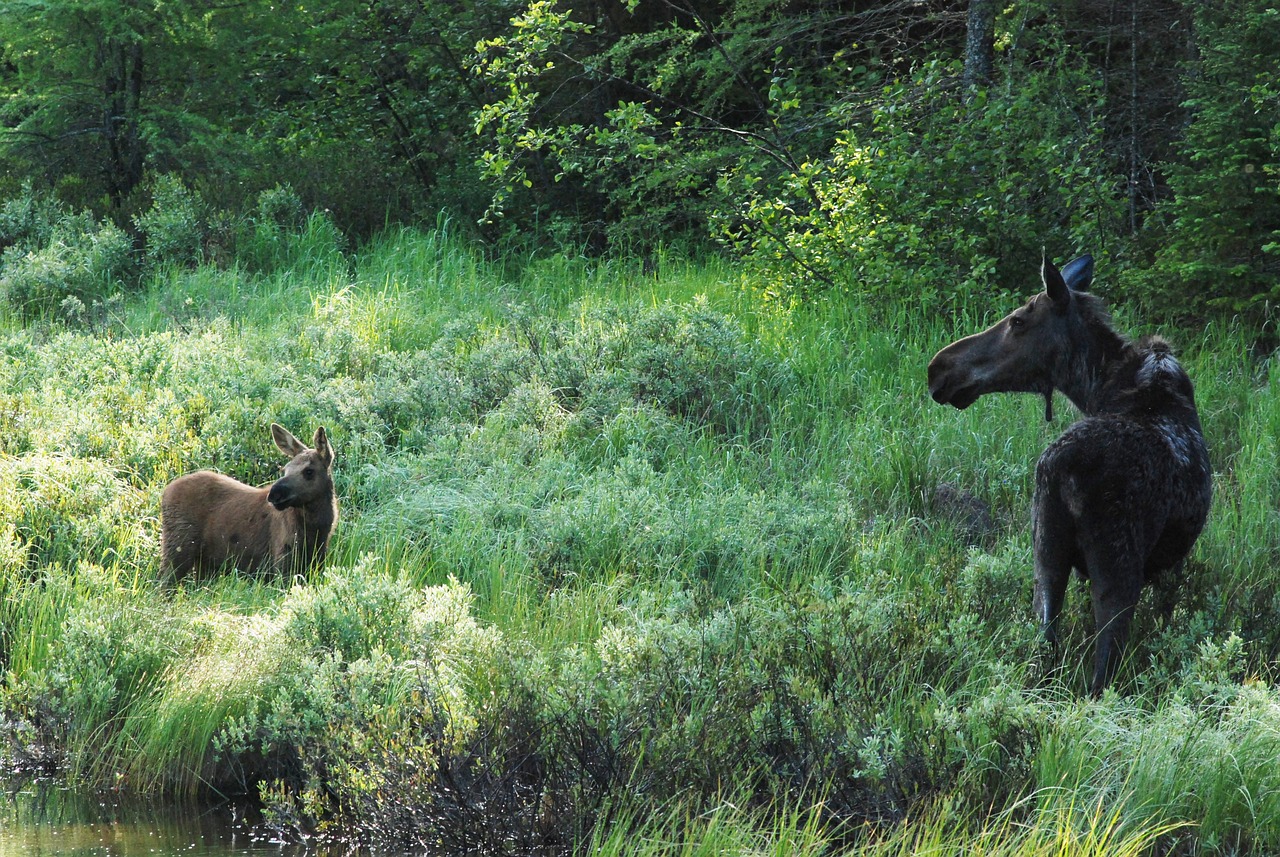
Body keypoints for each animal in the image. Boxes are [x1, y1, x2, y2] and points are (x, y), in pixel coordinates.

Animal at [161, 424, 340, 580]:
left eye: (309, 471)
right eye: (285, 469)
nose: (274, 494)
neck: (317, 530)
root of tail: (165, 492)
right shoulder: (282, 561)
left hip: (203, 562)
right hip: (177, 547)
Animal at [931, 257, 1208, 695]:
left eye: (1018, 320)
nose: (938, 368)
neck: (1094, 387)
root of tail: (1061, 469)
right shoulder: (1173, 562)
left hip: (1045, 558)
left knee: (1045, 651)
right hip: (1116, 570)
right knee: (1100, 678)